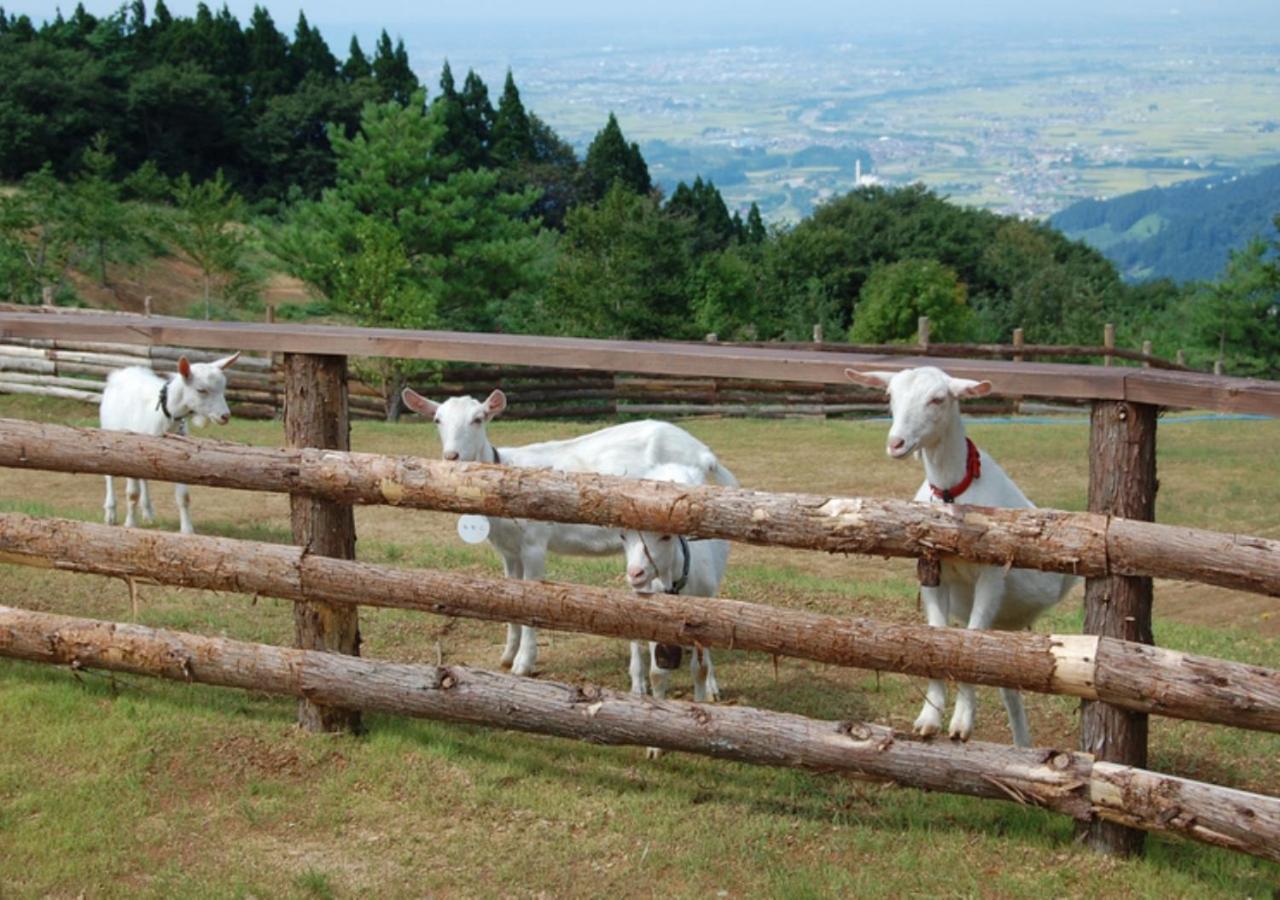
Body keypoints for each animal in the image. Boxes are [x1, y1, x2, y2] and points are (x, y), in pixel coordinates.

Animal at [99, 353, 240, 535]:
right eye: (201, 390)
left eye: (223, 388)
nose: (225, 416)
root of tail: (122, 372)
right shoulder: (129, 451)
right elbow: (132, 493)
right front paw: (130, 524)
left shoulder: (179, 457)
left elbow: (183, 496)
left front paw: (187, 530)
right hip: (108, 432)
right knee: (109, 475)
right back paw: (110, 513)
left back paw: (148, 512)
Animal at [404, 386, 737, 675]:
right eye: (437, 420)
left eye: (478, 418)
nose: (451, 457)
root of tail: (704, 453)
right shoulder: (508, 552)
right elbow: (509, 598)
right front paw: (507, 656)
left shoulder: (534, 544)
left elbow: (531, 600)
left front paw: (523, 664)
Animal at [849, 363, 1080, 747]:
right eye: (890, 395)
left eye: (938, 399)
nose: (896, 443)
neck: (952, 493)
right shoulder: (931, 571)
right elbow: (938, 634)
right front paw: (928, 720)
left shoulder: (992, 575)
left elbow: (969, 639)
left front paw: (961, 725)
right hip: (1006, 624)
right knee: (1009, 686)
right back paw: (1022, 746)